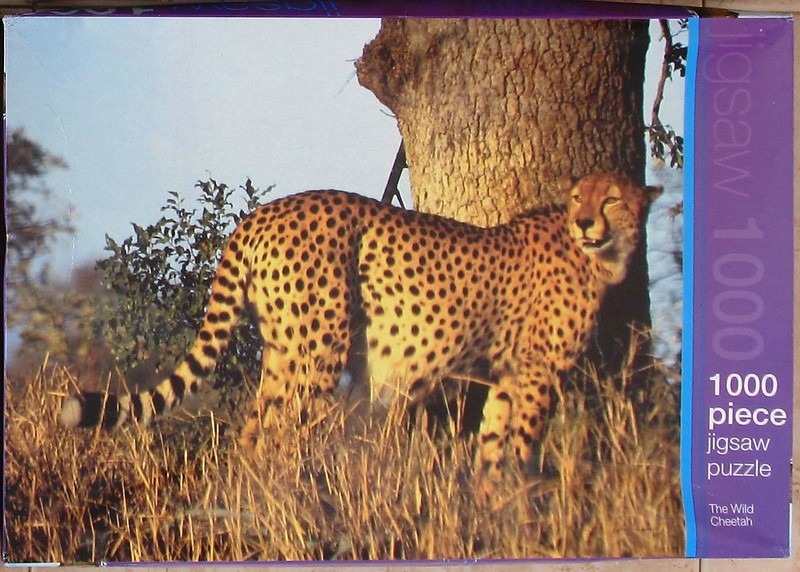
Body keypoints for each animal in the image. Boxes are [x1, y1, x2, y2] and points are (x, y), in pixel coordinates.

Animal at [60, 172, 661, 475]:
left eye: (611, 198)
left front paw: (496, 512)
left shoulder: (509, 378)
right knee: (288, 435)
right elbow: (522, 453)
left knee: (255, 433)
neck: (599, 256)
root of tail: (261, 213)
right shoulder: (536, 376)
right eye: (579, 198)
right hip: (321, 350)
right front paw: (520, 516)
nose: (586, 222)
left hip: (282, 351)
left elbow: (495, 450)